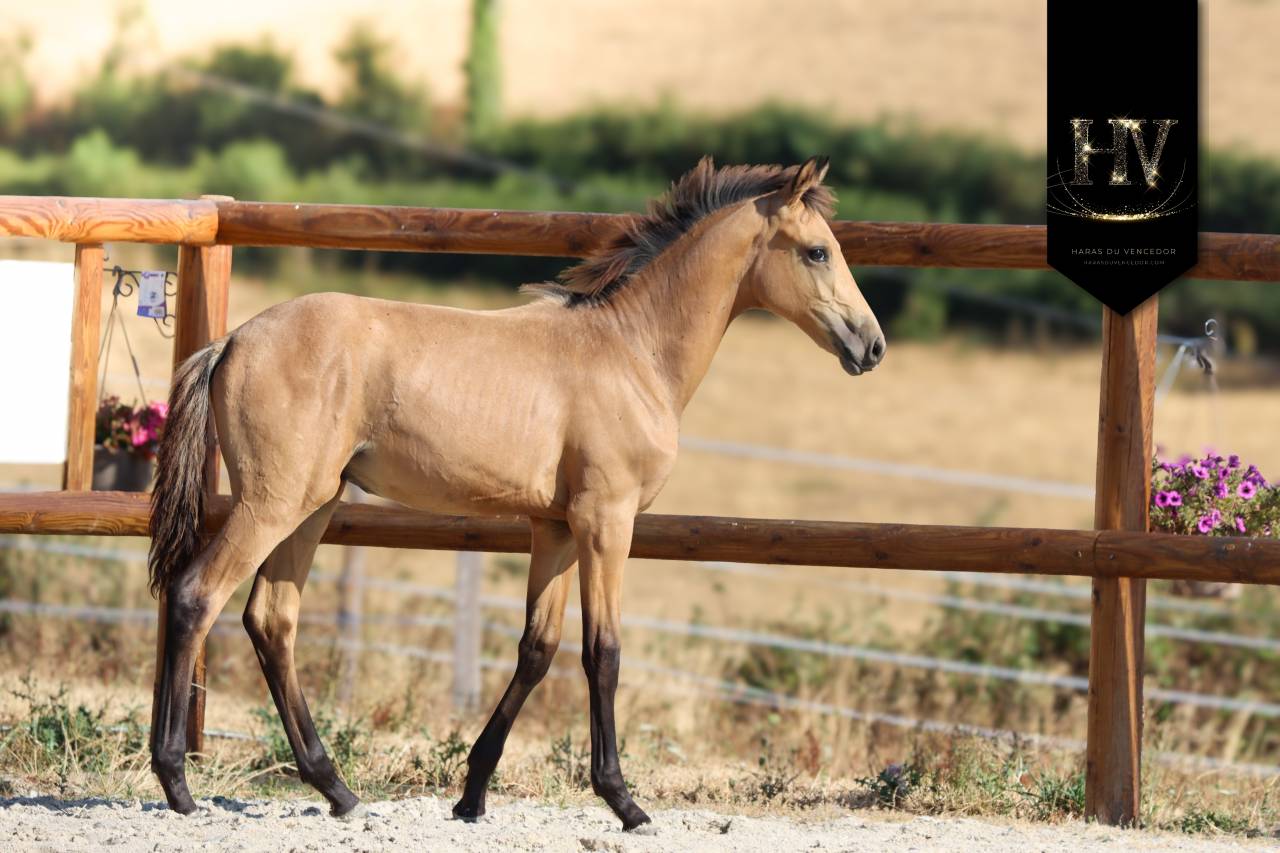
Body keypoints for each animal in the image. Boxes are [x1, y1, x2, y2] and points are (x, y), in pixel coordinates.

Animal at [147, 156, 885, 831]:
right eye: (817, 250)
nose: (871, 345)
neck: (631, 352)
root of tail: (231, 341)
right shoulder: (606, 522)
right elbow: (603, 651)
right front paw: (625, 801)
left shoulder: (554, 527)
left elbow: (538, 649)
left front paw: (472, 796)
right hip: (272, 503)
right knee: (196, 596)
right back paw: (177, 782)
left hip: (314, 504)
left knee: (272, 620)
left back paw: (337, 789)